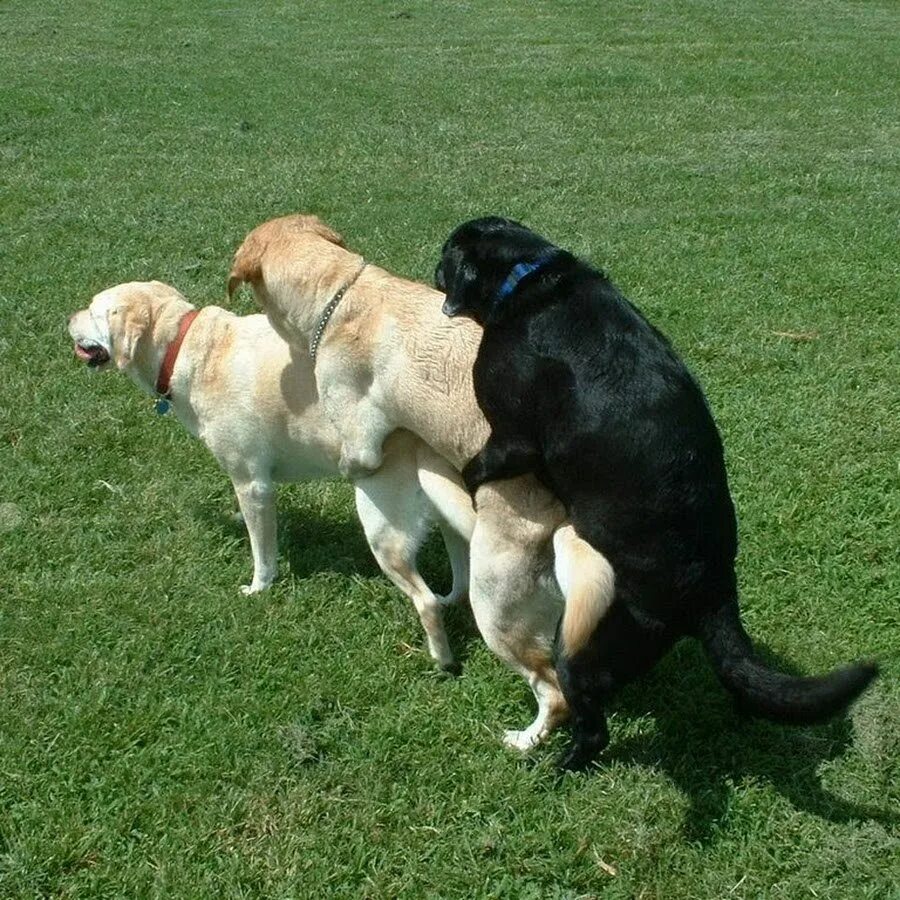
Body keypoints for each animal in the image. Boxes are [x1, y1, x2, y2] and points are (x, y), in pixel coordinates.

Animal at [67, 284, 474, 672]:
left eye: (93, 309)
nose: (67, 319)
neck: (184, 347)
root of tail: (420, 441)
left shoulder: (253, 485)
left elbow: (262, 551)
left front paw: (259, 588)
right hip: (444, 516)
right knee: (462, 577)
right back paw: (450, 602)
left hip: (382, 530)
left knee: (426, 602)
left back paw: (442, 661)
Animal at [229, 218, 616, 752]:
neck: (342, 292)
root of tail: (564, 528)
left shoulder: (359, 440)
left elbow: (352, 457)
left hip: (495, 608)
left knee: (552, 691)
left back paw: (525, 740)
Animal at [436, 214, 880, 768]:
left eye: (447, 255)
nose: (434, 267)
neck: (531, 281)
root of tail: (712, 589)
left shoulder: (513, 439)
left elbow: (474, 468)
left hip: (588, 641)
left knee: (589, 722)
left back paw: (558, 765)